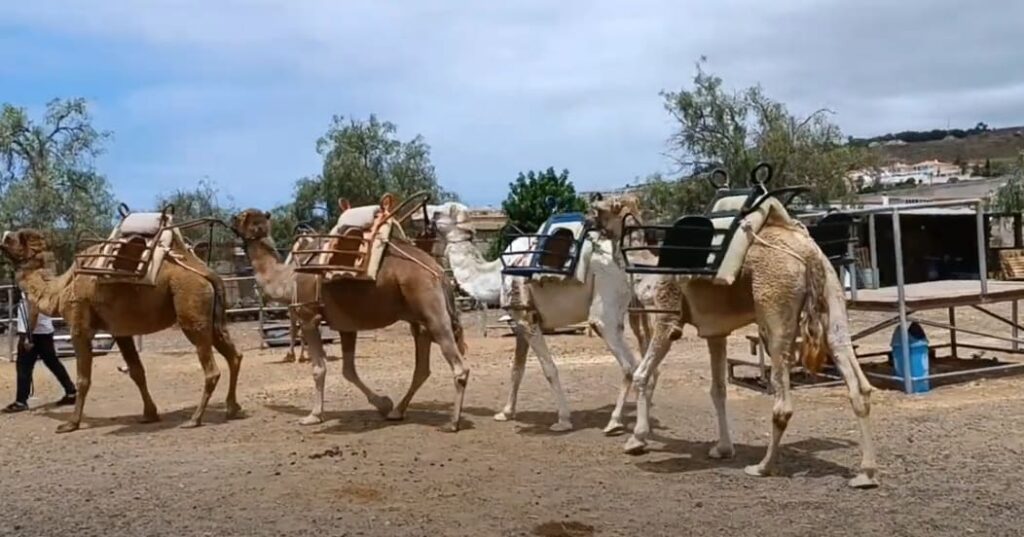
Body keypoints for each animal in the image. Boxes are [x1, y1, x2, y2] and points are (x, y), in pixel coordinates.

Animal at [0, 226, 243, 432]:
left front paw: (70, 424)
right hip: (212, 317)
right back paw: (232, 408)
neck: (61, 288)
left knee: (211, 368)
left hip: (191, 306)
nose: (4, 237)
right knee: (234, 355)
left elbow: (83, 379)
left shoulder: (79, 326)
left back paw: (194, 419)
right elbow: (137, 371)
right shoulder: (119, 330)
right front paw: (149, 415)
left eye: (18, 237)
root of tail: (207, 273)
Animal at [232, 200, 468, 432]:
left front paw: (313, 415)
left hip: (432, 312)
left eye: (242, 216)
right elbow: (348, 370)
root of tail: (439, 272)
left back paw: (452, 422)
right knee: (421, 368)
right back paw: (397, 411)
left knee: (459, 366)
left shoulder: (308, 317)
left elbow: (319, 368)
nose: (231, 219)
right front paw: (383, 404)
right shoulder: (345, 324)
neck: (288, 280)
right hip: (419, 322)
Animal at [432, 199, 647, 432]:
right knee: (636, 363)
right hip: (618, 317)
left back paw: (614, 423)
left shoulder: (528, 321)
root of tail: (623, 265)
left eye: (438, 213)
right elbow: (517, 369)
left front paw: (563, 420)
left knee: (627, 365)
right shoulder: (519, 324)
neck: (497, 274)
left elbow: (549, 368)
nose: (426, 213)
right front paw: (505, 413)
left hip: (604, 308)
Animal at [593, 194, 880, 487]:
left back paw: (763, 466)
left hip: (775, 307)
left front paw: (636, 439)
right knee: (855, 377)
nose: (591, 224)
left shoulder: (667, 317)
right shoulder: (715, 332)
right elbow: (718, 390)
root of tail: (809, 254)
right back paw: (865, 474)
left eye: (598, 210)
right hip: (832, 296)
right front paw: (722, 449)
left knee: (783, 401)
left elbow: (643, 374)